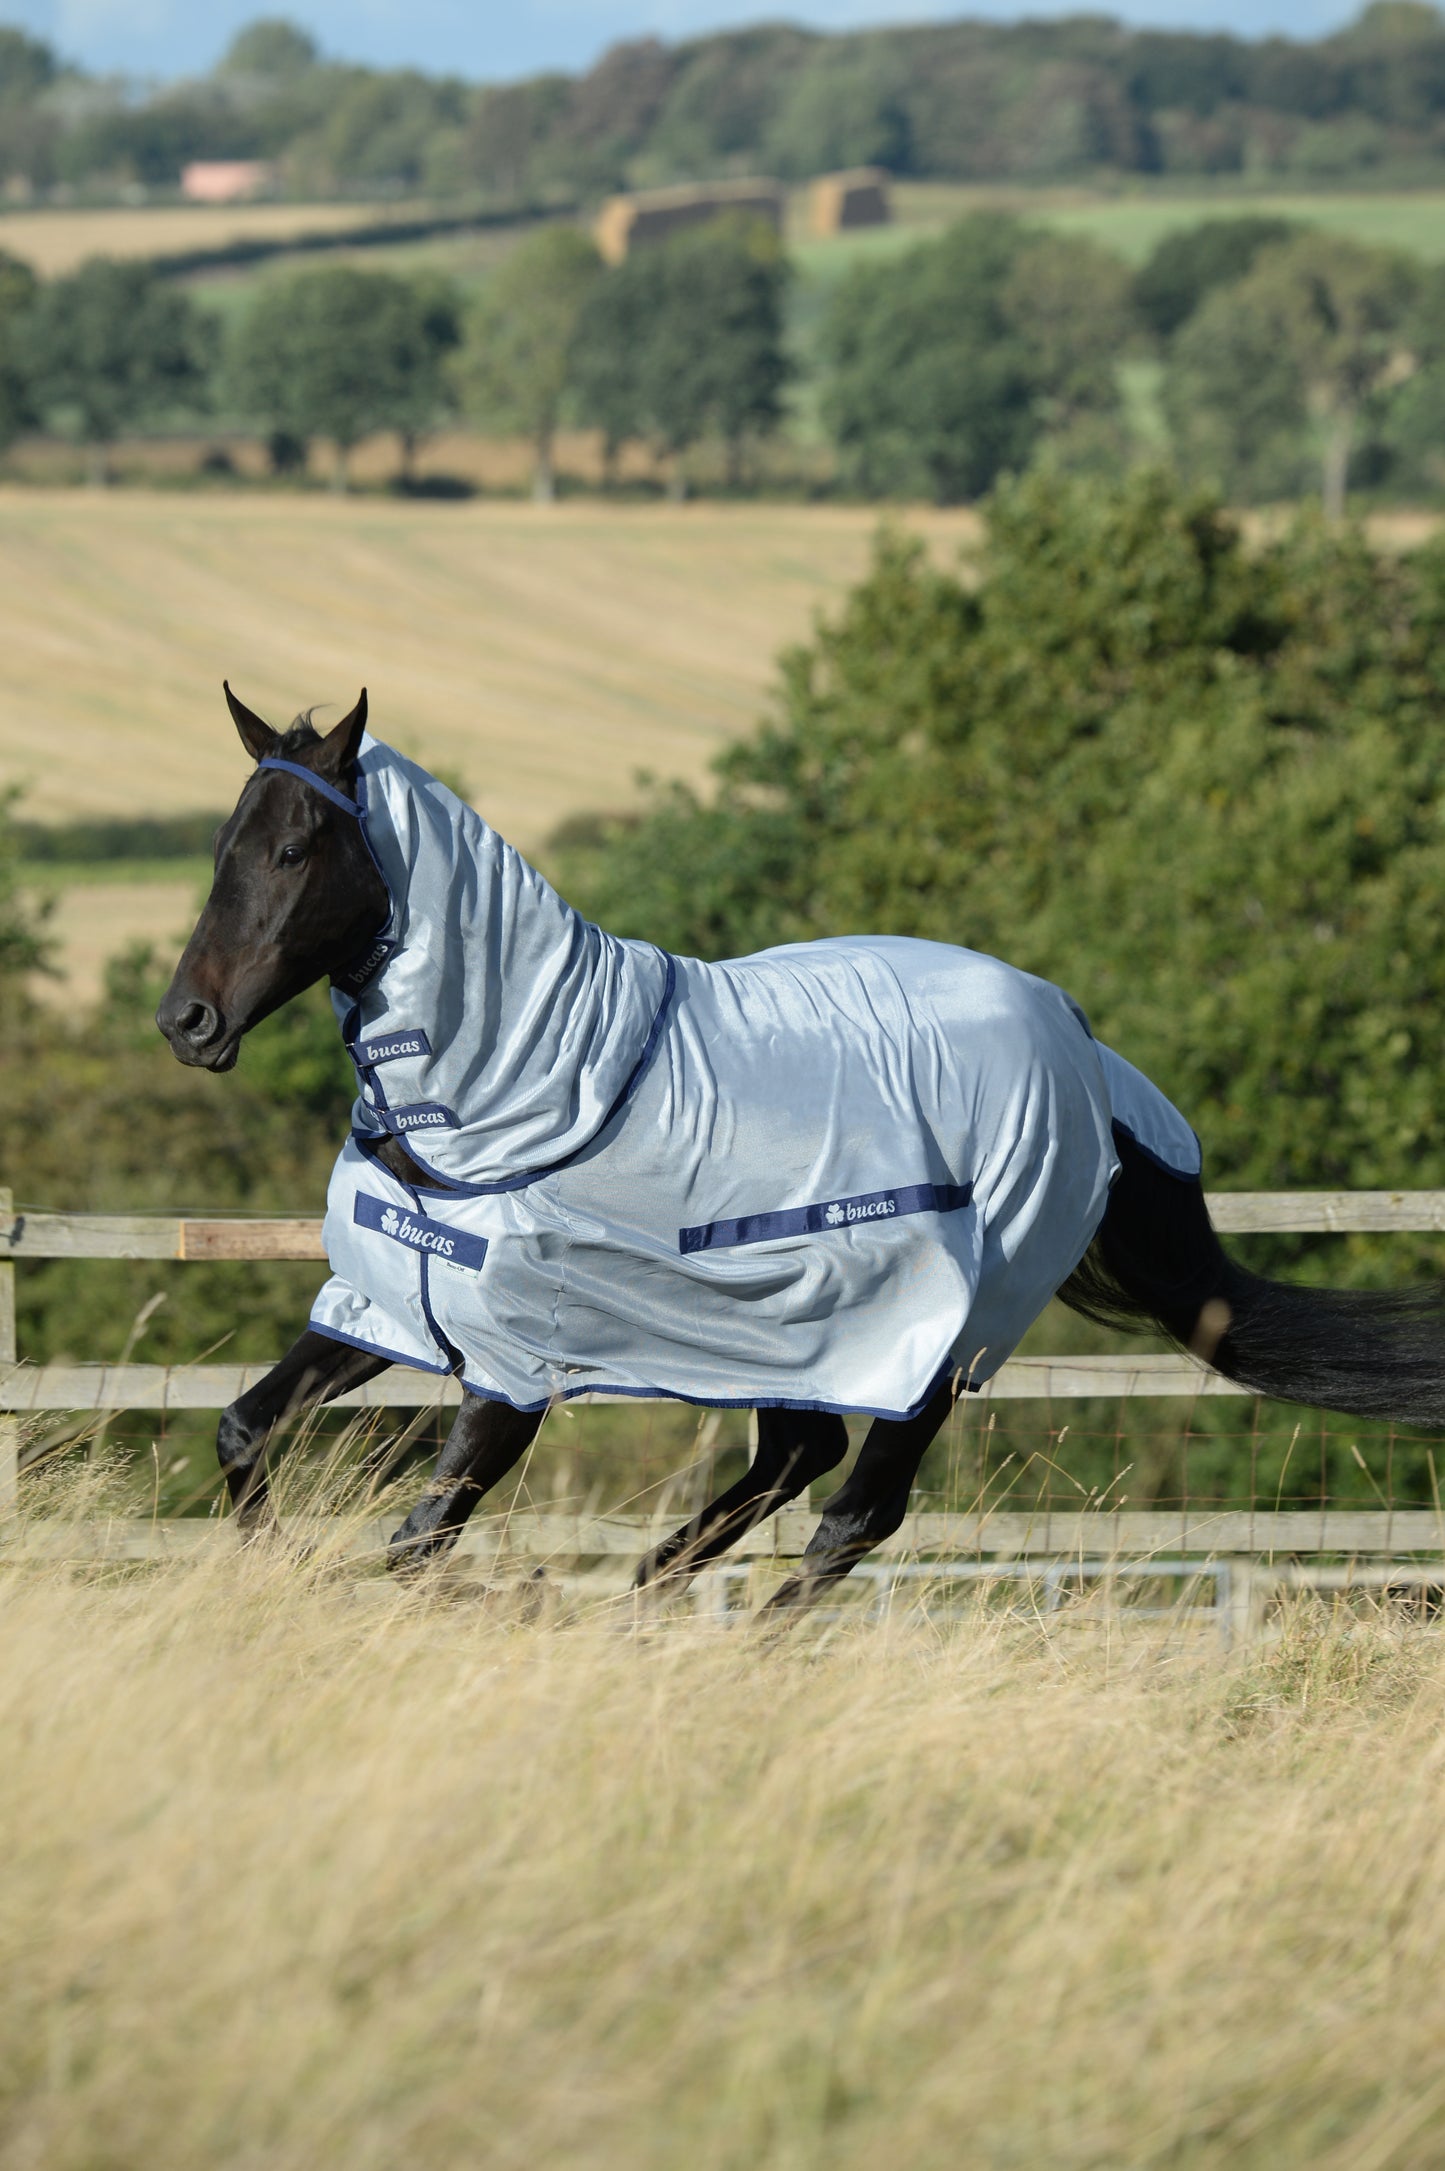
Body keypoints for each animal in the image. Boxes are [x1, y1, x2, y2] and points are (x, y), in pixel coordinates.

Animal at [156, 687, 1445, 1615]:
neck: (513, 1096)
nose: (188, 1021)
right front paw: (276, 1568)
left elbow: (417, 1541)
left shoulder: (514, 1369)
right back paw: (643, 1599)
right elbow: (246, 1431)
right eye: (222, 842)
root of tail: (1081, 1045)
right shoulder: (388, 1304)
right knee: (798, 1453)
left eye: (295, 849)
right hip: (788, 1329)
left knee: (853, 1509)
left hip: (937, 1340)